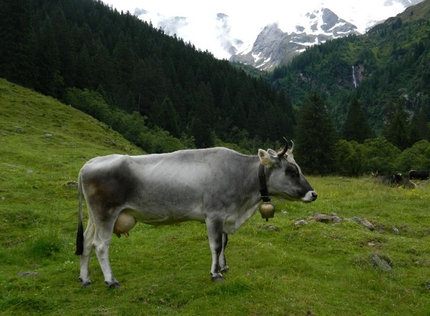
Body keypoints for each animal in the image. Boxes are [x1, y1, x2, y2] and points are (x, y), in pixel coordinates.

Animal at [74, 142, 316, 288]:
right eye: (291, 171)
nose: (313, 194)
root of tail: (90, 163)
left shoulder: (225, 215)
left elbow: (224, 243)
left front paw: (223, 266)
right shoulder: (214, 214)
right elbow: (216, 245)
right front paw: (216, 274)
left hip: (94, 217)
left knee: (86, 243)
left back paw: (85, 278)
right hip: (105, 213)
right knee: (100, 245)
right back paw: (110, 280)